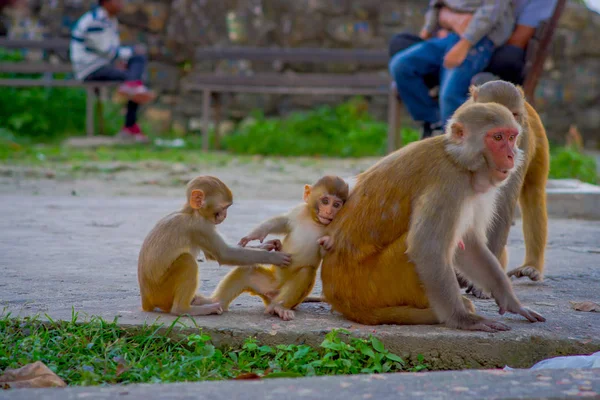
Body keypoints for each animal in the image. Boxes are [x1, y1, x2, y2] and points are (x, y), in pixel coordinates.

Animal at [139, 175, 292, 316]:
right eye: (222, 208)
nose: (224, 216)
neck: (190, 211)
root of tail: (146, 300)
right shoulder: (201, 226)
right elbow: (224, 254)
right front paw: (274, 257)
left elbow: (212, 254)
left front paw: (268, 245)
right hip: (162, 292)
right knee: (187, 260)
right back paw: (185, 309)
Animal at [322, 103, 548, 332]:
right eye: (497, 137)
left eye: (512, 137)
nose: (512, 155)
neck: (458, 160)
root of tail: (339, 298)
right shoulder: (449, 184)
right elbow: (427, 248)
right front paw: (463, 319)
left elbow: (469, 243)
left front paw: (511, 301)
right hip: (372, 285)